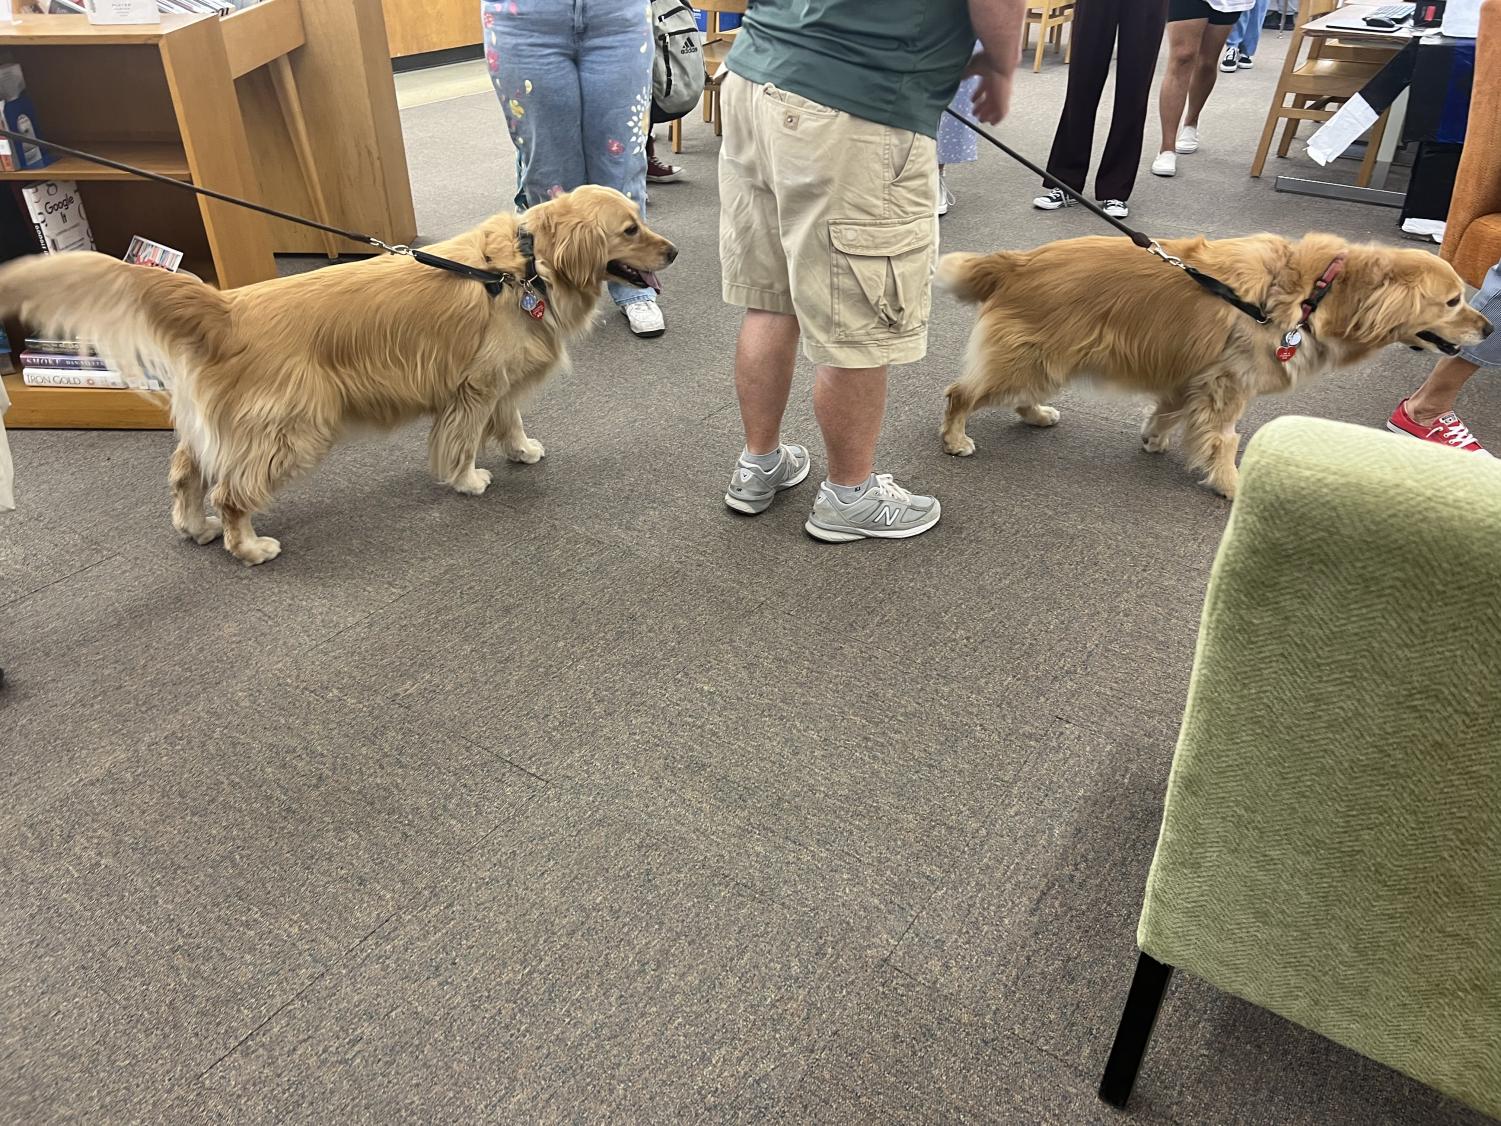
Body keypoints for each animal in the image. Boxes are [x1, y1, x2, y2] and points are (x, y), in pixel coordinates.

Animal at [0, 188, 675, 567]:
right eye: (629, 229)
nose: (671, 252)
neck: (526, 269)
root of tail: (226, 305)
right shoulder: (473, 387)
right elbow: (462, 440)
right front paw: (467, 479)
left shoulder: (498, 382)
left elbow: (508, 421)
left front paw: (521, 449)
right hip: (291, 428)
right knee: (230, 492)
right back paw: (248, 547)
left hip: (214, 429)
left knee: (186, 474)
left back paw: (194, 529)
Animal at [936, 234, 1488, 498]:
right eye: (1453, 301)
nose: (1488, 330)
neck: (1317, 292)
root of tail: (1017, 261)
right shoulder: (1230, 382)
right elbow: (1224, 439)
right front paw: (1230, 484)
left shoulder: (1195, 374)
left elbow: (1170, 411)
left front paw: (1154, 439)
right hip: (1033, 357)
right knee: (960, 393)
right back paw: (956, 438)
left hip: (1049, 359)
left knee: (1015, 394)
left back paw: (1035, 415)